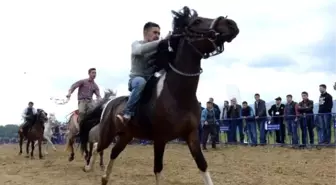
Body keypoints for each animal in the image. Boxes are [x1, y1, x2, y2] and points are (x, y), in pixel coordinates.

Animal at [79, 6, 239, 185]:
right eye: (197, 21)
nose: (231, 24)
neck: (177, 95)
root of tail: (109, 104)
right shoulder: (160, 139)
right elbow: (158, 169)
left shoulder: (192, 135)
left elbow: (202, 165)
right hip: (108, 134)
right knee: (96, 146)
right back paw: (88, 167)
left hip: (126, 136)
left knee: (113, 151)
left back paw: (104, 177)